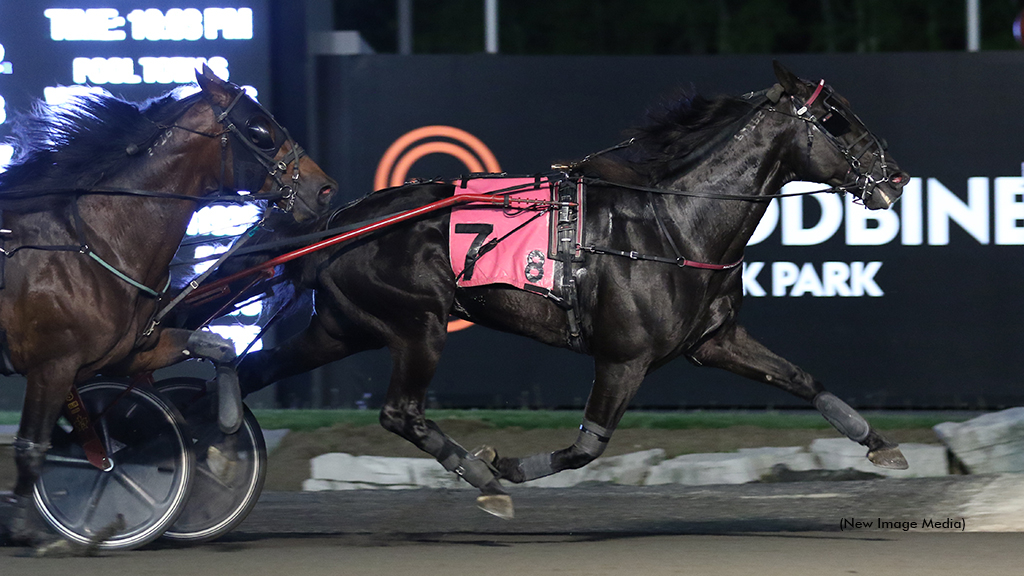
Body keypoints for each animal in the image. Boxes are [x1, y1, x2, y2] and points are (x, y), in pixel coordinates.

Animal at [0, 65, 335, 541]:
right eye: (260, 130)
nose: (324, 189)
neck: (92, 243)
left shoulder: (127, 351)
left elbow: (219, 347)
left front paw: (222, 437)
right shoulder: (54, 363)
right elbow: (35, 444)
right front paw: (29, 530)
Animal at [237, 62, 905, 516]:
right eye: (836, 118)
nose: (895, 177)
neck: (673, 224)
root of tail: (344, 220)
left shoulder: (715, 340)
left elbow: (803, 379)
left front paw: (880, 445)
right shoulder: (623, 357)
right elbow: (587, 449)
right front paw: (502, 465)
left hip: (343, 326)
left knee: (256, 371)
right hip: (418, 325)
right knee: (401, 411)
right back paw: (480, 477)